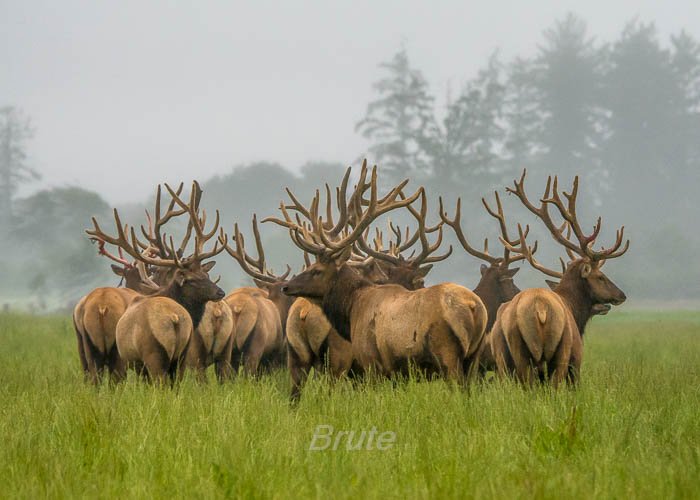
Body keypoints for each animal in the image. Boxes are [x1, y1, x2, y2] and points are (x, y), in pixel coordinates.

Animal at [264, 162, 486, 380]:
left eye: (316, 270)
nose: (286, 287)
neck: (352, 308)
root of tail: (474, 307)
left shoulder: (371, 359)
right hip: (473, 357)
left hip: (446, 352)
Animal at [486, 170, 628, 384]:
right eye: (601, 276)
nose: (621, 295)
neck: (574, 308)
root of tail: (540, 309)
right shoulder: (576, 361)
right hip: (559, 353)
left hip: (506, 361)